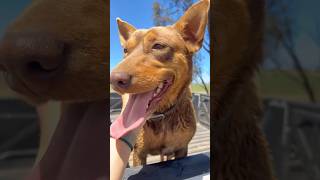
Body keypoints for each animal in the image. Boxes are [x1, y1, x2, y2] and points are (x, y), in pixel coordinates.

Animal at [110, 0, 210, 166]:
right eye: (125, 50)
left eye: (158, 46)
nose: (113, 79)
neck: (162, 115)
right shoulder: (139, 154)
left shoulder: (181, 149)